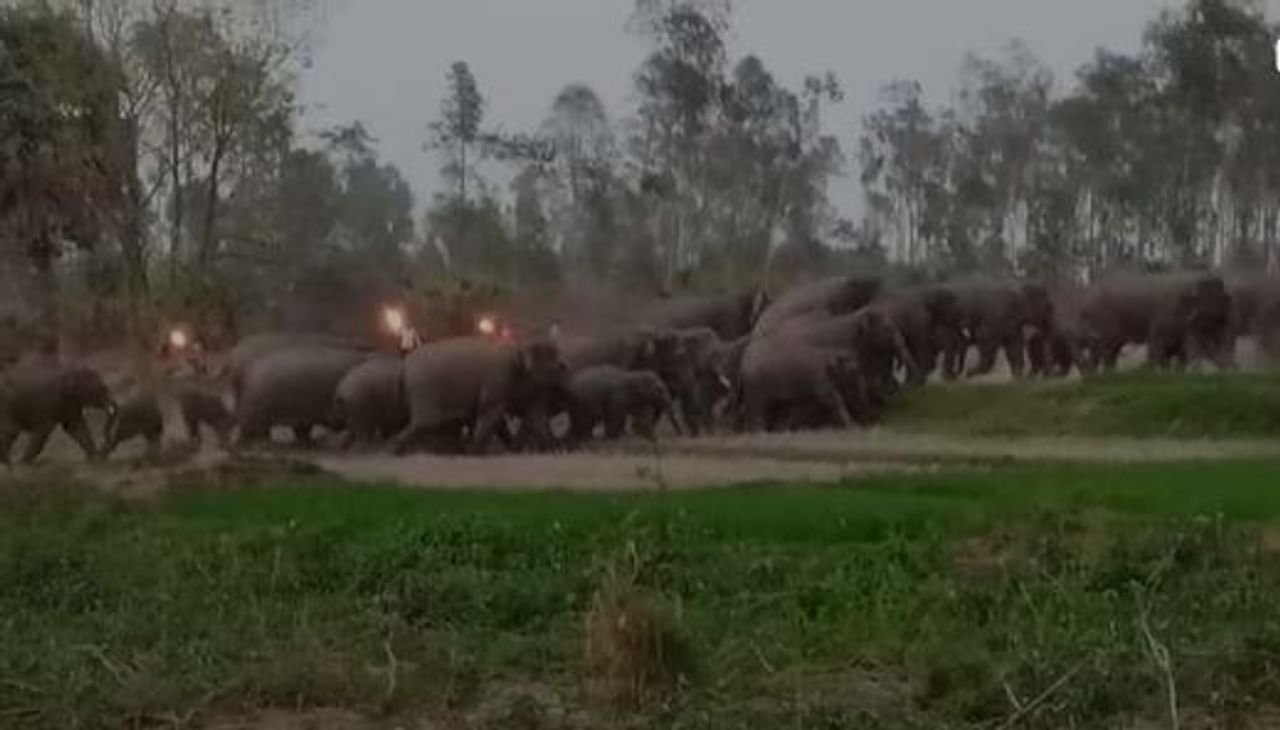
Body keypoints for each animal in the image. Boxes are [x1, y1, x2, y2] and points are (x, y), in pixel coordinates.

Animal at [391, 335, 568, 455]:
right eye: (554, 360)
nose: (565, 366)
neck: (519, 345)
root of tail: (404, 366)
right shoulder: (498, 379)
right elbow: (490, 415)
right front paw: (473, 452)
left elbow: (534, 417)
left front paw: (552, 449)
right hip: (424, 390)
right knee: (425, 423)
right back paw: (392, 449)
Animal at [1075, 270, 1233, 368]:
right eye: (1201, 314)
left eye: (1219, 319)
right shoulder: (1163, 315)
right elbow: (1156, 344)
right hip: (1104, 320)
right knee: (1106, 349)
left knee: (1111, 350)